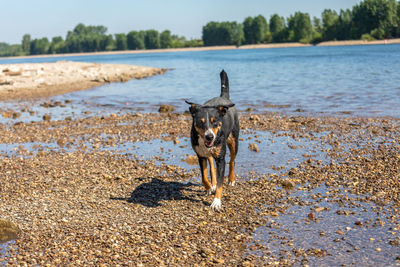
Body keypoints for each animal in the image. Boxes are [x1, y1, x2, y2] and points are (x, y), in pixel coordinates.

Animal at [186, 70, 239, 213]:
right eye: (201, 122)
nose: (209, 137)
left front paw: (216, 202)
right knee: (211, 165)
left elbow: (221, 182)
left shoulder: (221, 159)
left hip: (233, 141)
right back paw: (213, 183)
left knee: (232, 160)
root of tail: (223, 97)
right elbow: (204, 175)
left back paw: (231, 179)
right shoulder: (200, 155)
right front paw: (209, 187)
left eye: (215, 122)